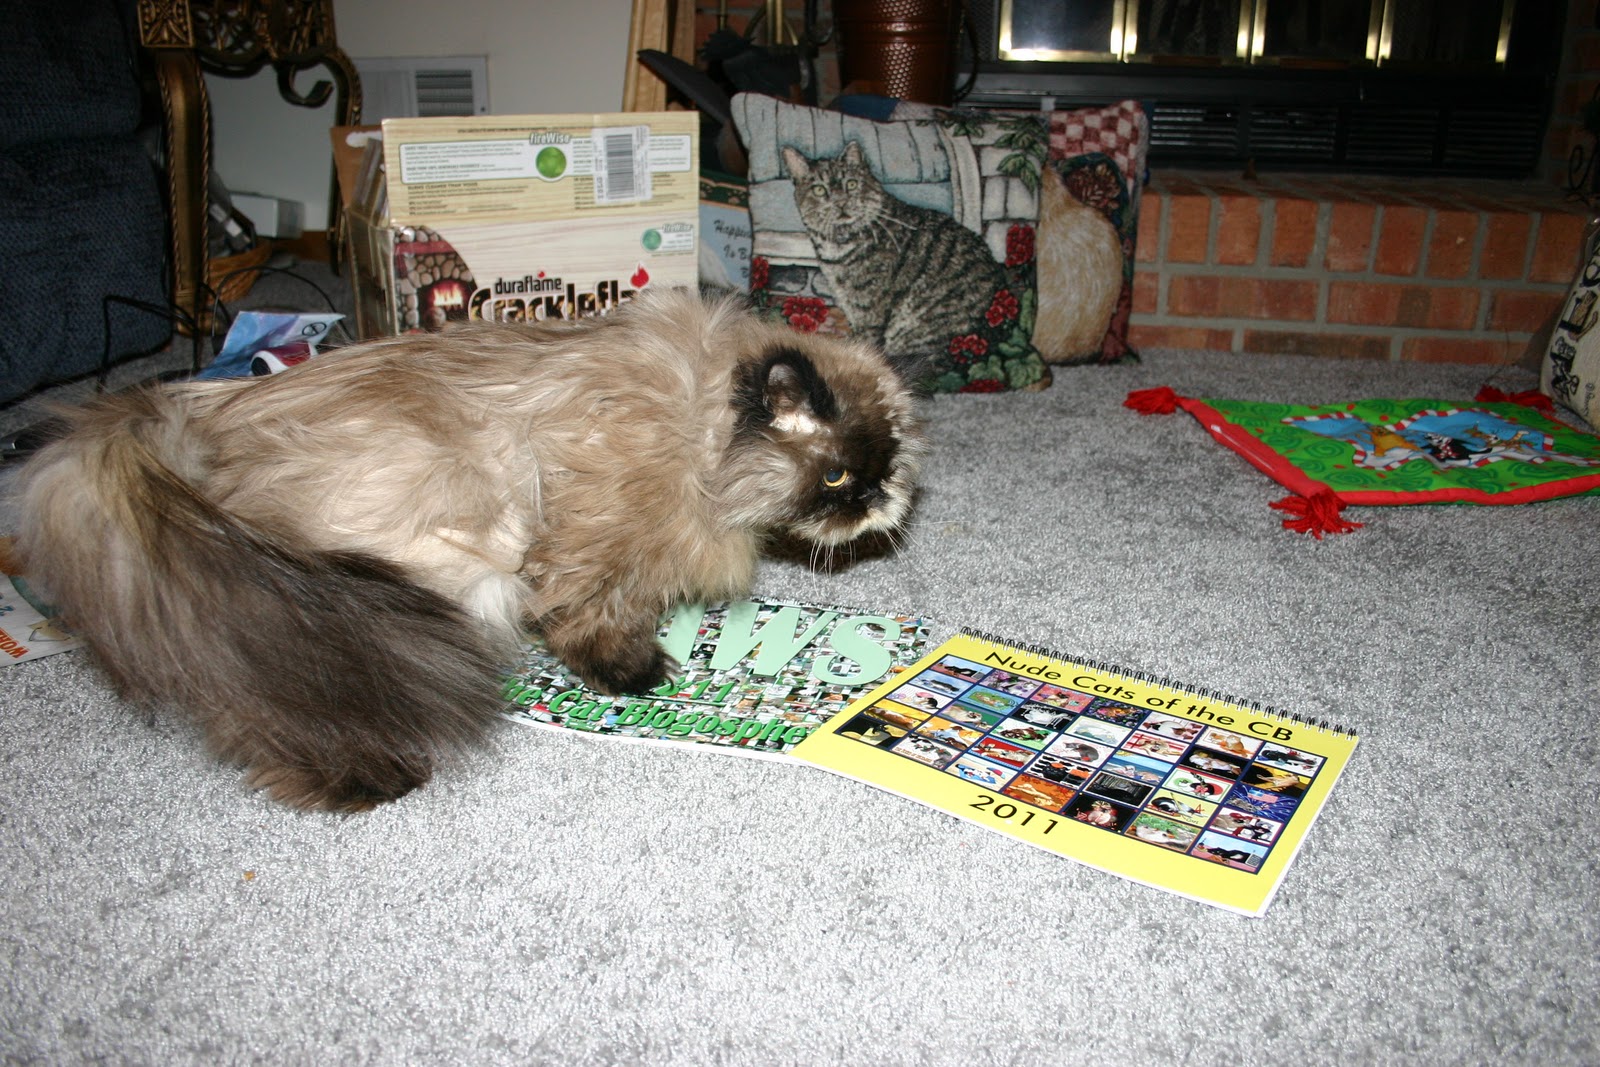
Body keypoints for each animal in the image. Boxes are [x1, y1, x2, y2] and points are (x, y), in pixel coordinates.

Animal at [13, 288, 926, 812]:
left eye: (887, 465)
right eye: (837, 474)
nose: (881, 498)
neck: (692, 426)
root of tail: (181, 419)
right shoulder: (588, 537)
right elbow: (592, 612)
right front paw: (630, 672)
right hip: (360, 597)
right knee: (264, 700)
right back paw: (358, 781)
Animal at [782, 141, 1006, 381]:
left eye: (851, 184)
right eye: (820, 190)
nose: (841, 203)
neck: (838, 244)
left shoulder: (869, 310)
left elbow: (866, 347)